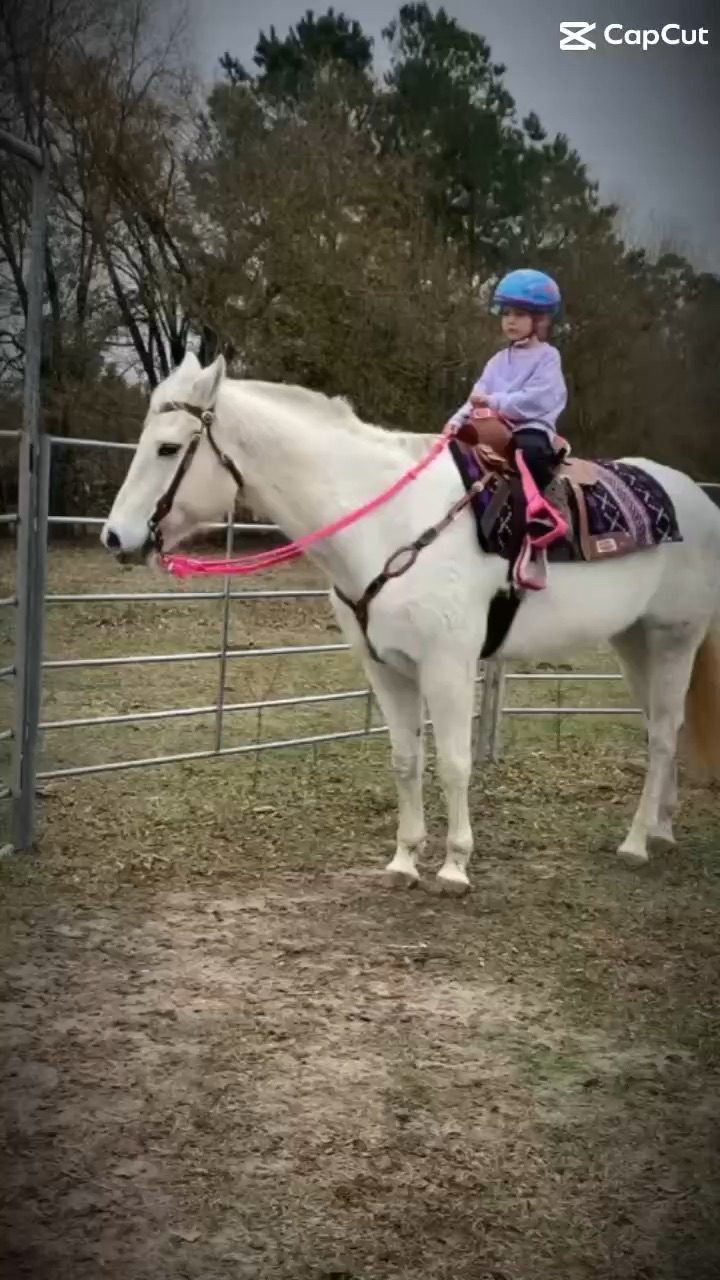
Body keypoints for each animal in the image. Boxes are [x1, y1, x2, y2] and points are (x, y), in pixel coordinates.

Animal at [101, 352, 720, 893]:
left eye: (168, 447)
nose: (115, 537)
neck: (391, 523)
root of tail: (699, 501)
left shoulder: (448, 666)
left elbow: (454, 763)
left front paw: (454, 868)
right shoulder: (387, 668)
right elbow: (406, 761)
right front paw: (403, 861)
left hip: (674, 638)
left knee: (663, 734)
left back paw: (636, 843)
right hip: (633, 641)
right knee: (662, 729)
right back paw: (661, 829)